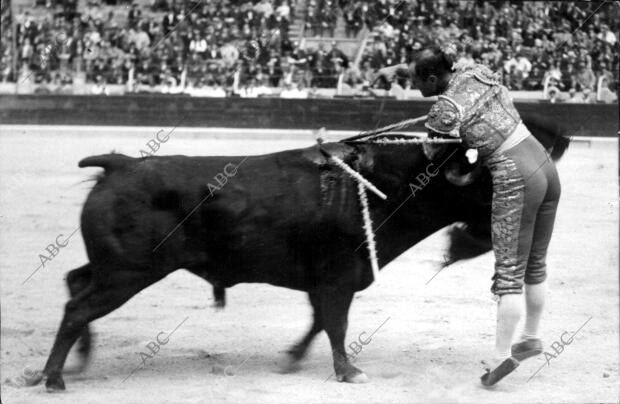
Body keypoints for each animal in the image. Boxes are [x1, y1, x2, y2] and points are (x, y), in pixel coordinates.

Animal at [32, 115, 568, 390]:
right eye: (491, 179)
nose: (543, 201)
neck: (382, 186)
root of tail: (119, 165)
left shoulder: (327, 280)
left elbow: (319, 321)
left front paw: (293, 360)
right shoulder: (338, 277)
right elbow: (336, 323)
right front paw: (349, 372)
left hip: (113, 269)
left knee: (74, 284)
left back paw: (76, 363)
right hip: (127, 273)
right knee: (77, 305)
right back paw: (55, 377)